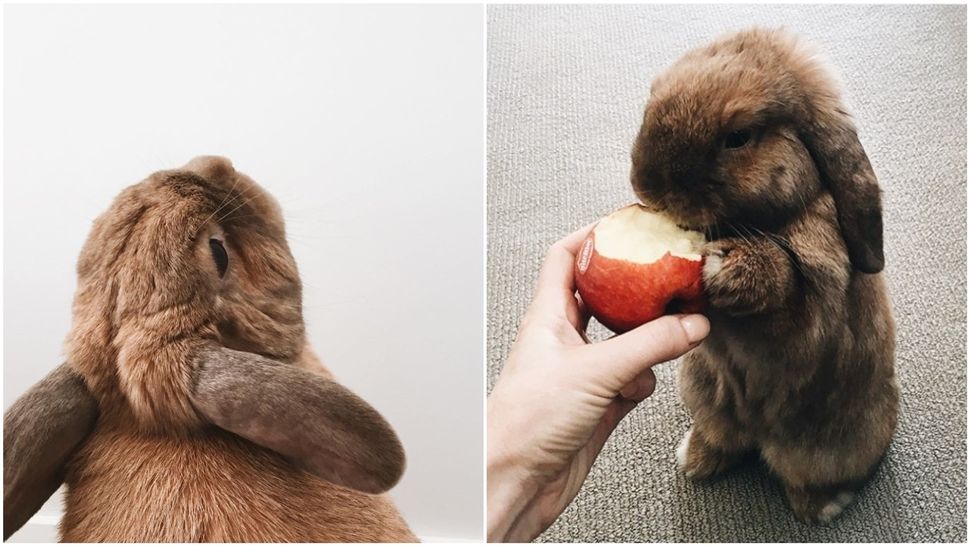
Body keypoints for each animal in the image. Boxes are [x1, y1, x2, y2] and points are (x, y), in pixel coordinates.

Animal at [628, 27, 900, 520]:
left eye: (738, 136)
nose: (649, 187)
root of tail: (761, 435)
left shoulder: (812, 312)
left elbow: (787, 296)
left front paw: (725, 266)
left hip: (835, 445)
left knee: (814, 476)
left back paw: (825, 505)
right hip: (702, 394)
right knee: (725, 440)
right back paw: (694, 458)